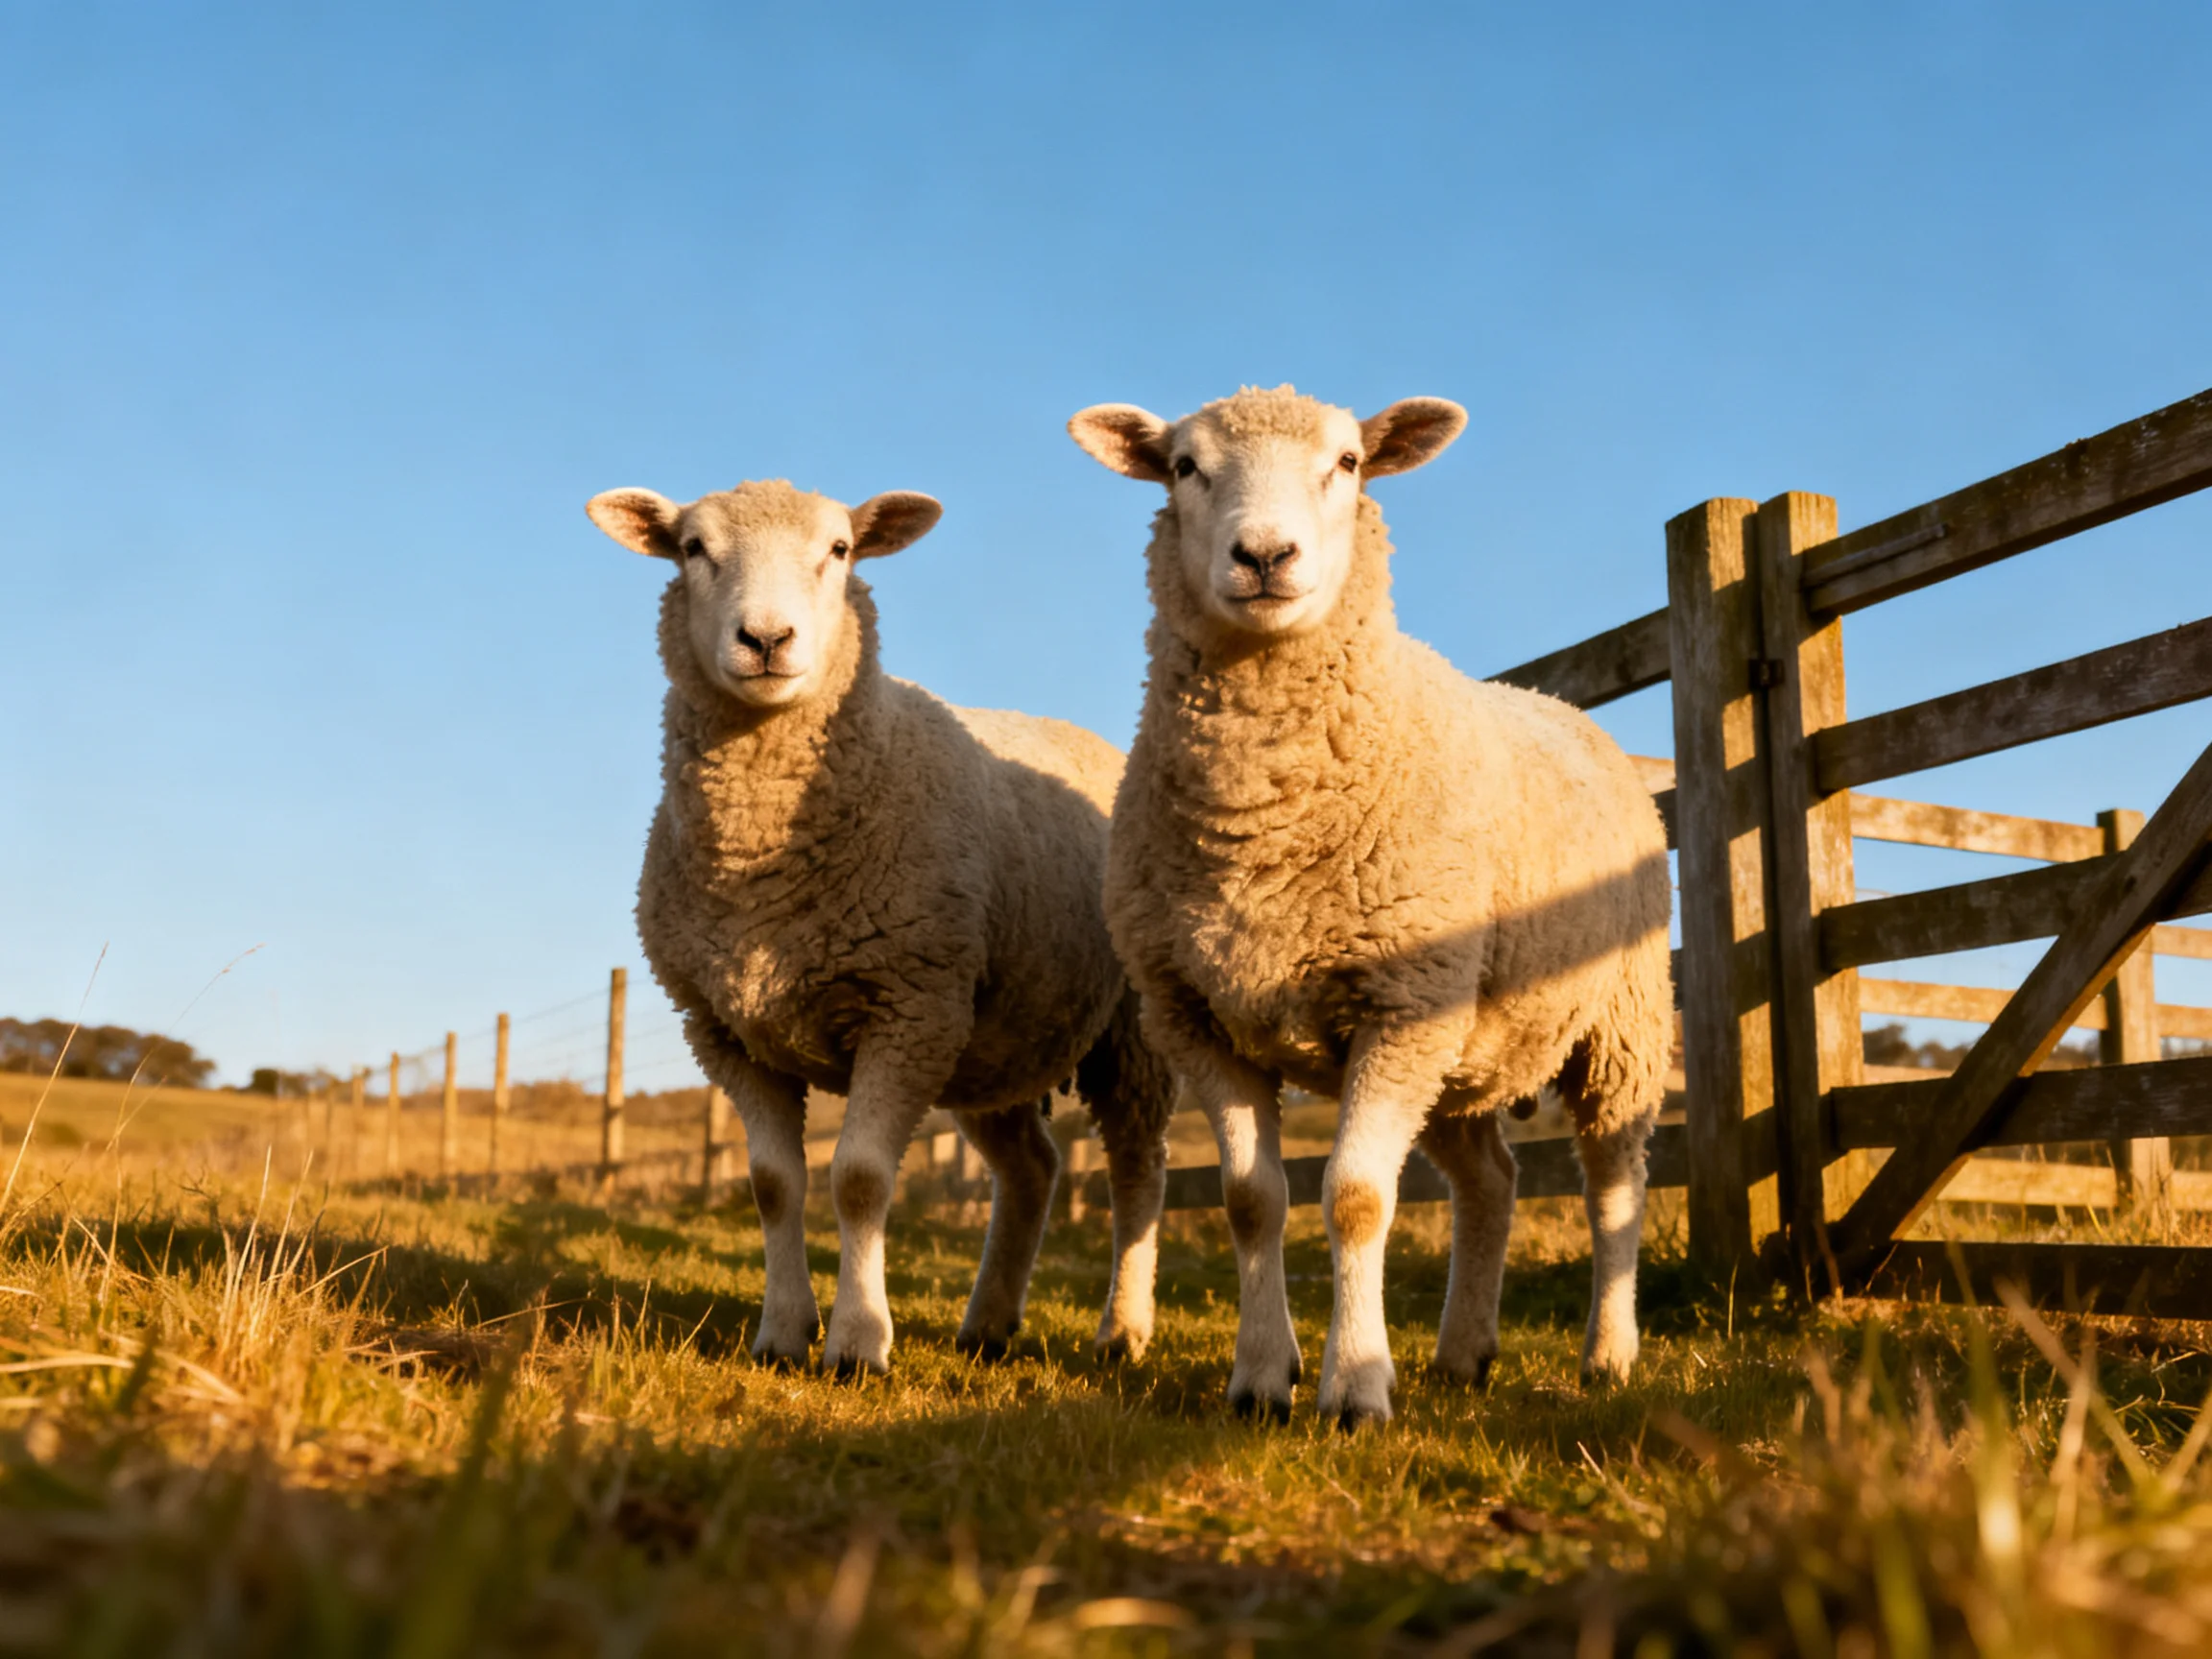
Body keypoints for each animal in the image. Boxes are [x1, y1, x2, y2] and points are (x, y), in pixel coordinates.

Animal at [585, 479, 1175, 1377]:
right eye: (692, 548)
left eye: (839, 550)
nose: (766, 639)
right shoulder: (726, 1031)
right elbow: (773, 1186)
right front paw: (782, 1333)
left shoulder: (905, 1005)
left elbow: (859, 1178)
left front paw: (859, 1342)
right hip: (992, 1040)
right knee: (1032, 1168)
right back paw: (988, 1323)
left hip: (1123, 1031)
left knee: (1138, 1169)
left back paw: (1124, 1330)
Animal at [1067, 386, 1672, 1427]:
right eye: (1184, 466)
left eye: (1348, 463)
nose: (1265, 556)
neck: (1260, 821)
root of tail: (1564, 705)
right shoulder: (1201, 1019)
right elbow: (1251, 1201)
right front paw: (1262, 1377)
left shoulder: (1400, 1003)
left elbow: (1353, 1197)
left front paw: (1353, 1386)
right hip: (1462, 1047)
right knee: (1491, 1182)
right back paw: (1464, 1352)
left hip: (1614, 1024)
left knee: (1611, 1188)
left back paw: (1608, 1353)